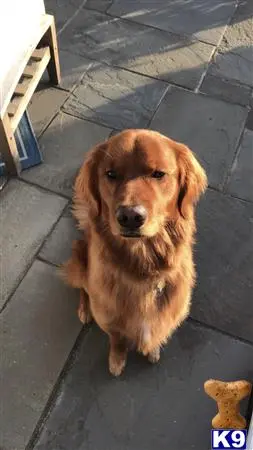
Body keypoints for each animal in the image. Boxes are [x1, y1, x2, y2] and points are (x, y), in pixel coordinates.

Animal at [62, 128, 207, 374]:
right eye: (111, 174)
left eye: (158, 174)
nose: (130, 217)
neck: (143, 263)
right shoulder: (109, 318)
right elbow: (117, 339)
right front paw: (116, 360)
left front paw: (153, 349)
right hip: (79, 259)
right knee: (83, 287)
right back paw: (84, 309)